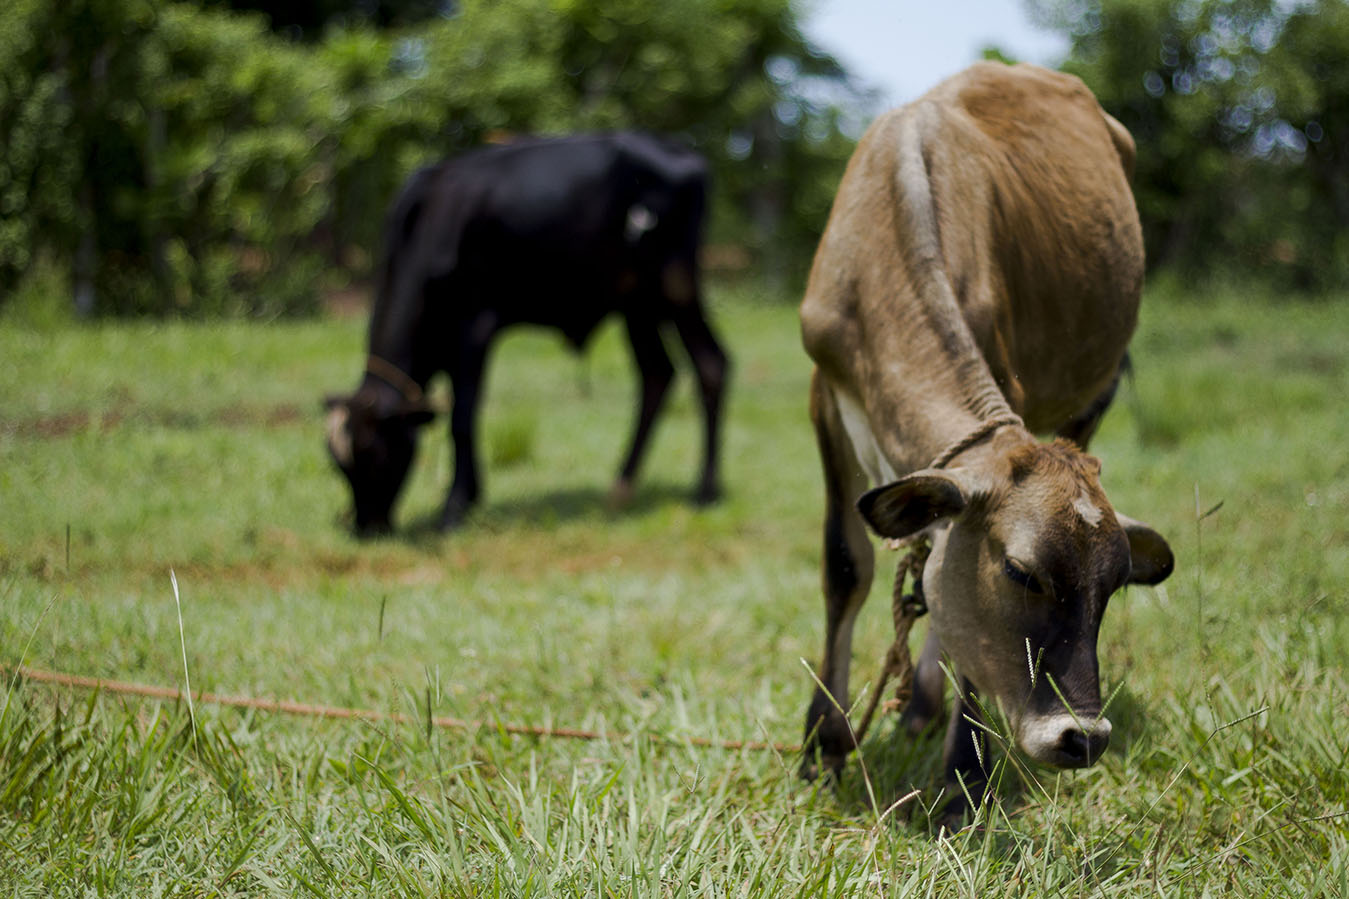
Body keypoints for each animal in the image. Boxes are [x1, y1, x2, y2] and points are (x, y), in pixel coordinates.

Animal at [323, 131, 728, 531]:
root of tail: (682, 153)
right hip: (636, 301)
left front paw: (454, 506)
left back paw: (706, 490)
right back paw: (621, 485)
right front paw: (470, 496)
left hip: (674, 282)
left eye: (374, 453)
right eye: (338, 465)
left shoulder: (474, 326)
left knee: (710, 364)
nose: (366, 528)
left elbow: (462, 417)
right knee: (657, 374)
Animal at [798, 61, 1170, 820]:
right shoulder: (825, 396)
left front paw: (964, 775)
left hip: (1092, 395)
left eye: (1114, 584)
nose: (1081, 736)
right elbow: (845, 566)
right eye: (1022, 572)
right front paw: (824, 745)